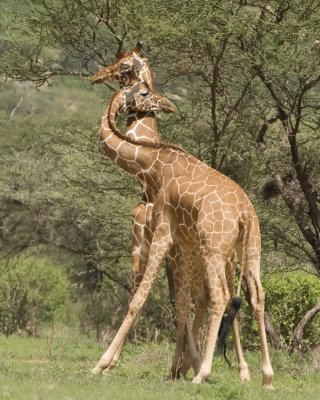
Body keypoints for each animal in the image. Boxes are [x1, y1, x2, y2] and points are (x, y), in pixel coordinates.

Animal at [91, 82, 274, 388]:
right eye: (144, 91)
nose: (166, 105)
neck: (156, 167)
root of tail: (245, 213)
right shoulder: (185, 243)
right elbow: (183, 301)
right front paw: (178, 366)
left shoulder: (164, 234)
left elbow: (140, 299)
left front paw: (102, 364)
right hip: (250, 251)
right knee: (256, 297)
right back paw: (266, 376)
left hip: (214, 250)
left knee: (220, 296)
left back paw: (204, 373)